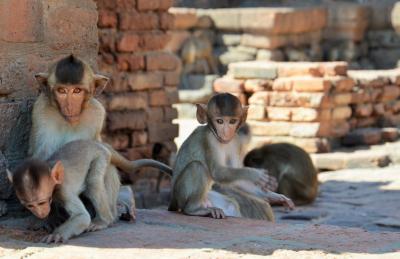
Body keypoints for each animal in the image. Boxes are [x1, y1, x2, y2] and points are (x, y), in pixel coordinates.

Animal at [7, 140, 173, 244]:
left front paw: (56, 234)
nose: (40, 212)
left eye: (41, 202)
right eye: (30, 206)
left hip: (101, 157)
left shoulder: (63, 190)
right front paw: (45, 221)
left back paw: (104, 220)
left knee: (93, 183)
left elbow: (82, 216)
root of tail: (97, 143)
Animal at [168, 92, 294, 220]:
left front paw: (274, 196)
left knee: (230, 204)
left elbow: (237, 180)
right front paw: (254, 174)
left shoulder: (235, 142)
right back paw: (194, 209)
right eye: (219, 121)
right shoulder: (210, 139)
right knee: (197, 166)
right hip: (180, 195)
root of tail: (172, 202)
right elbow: (217, 171)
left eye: (232, 121)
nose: (226, 131)